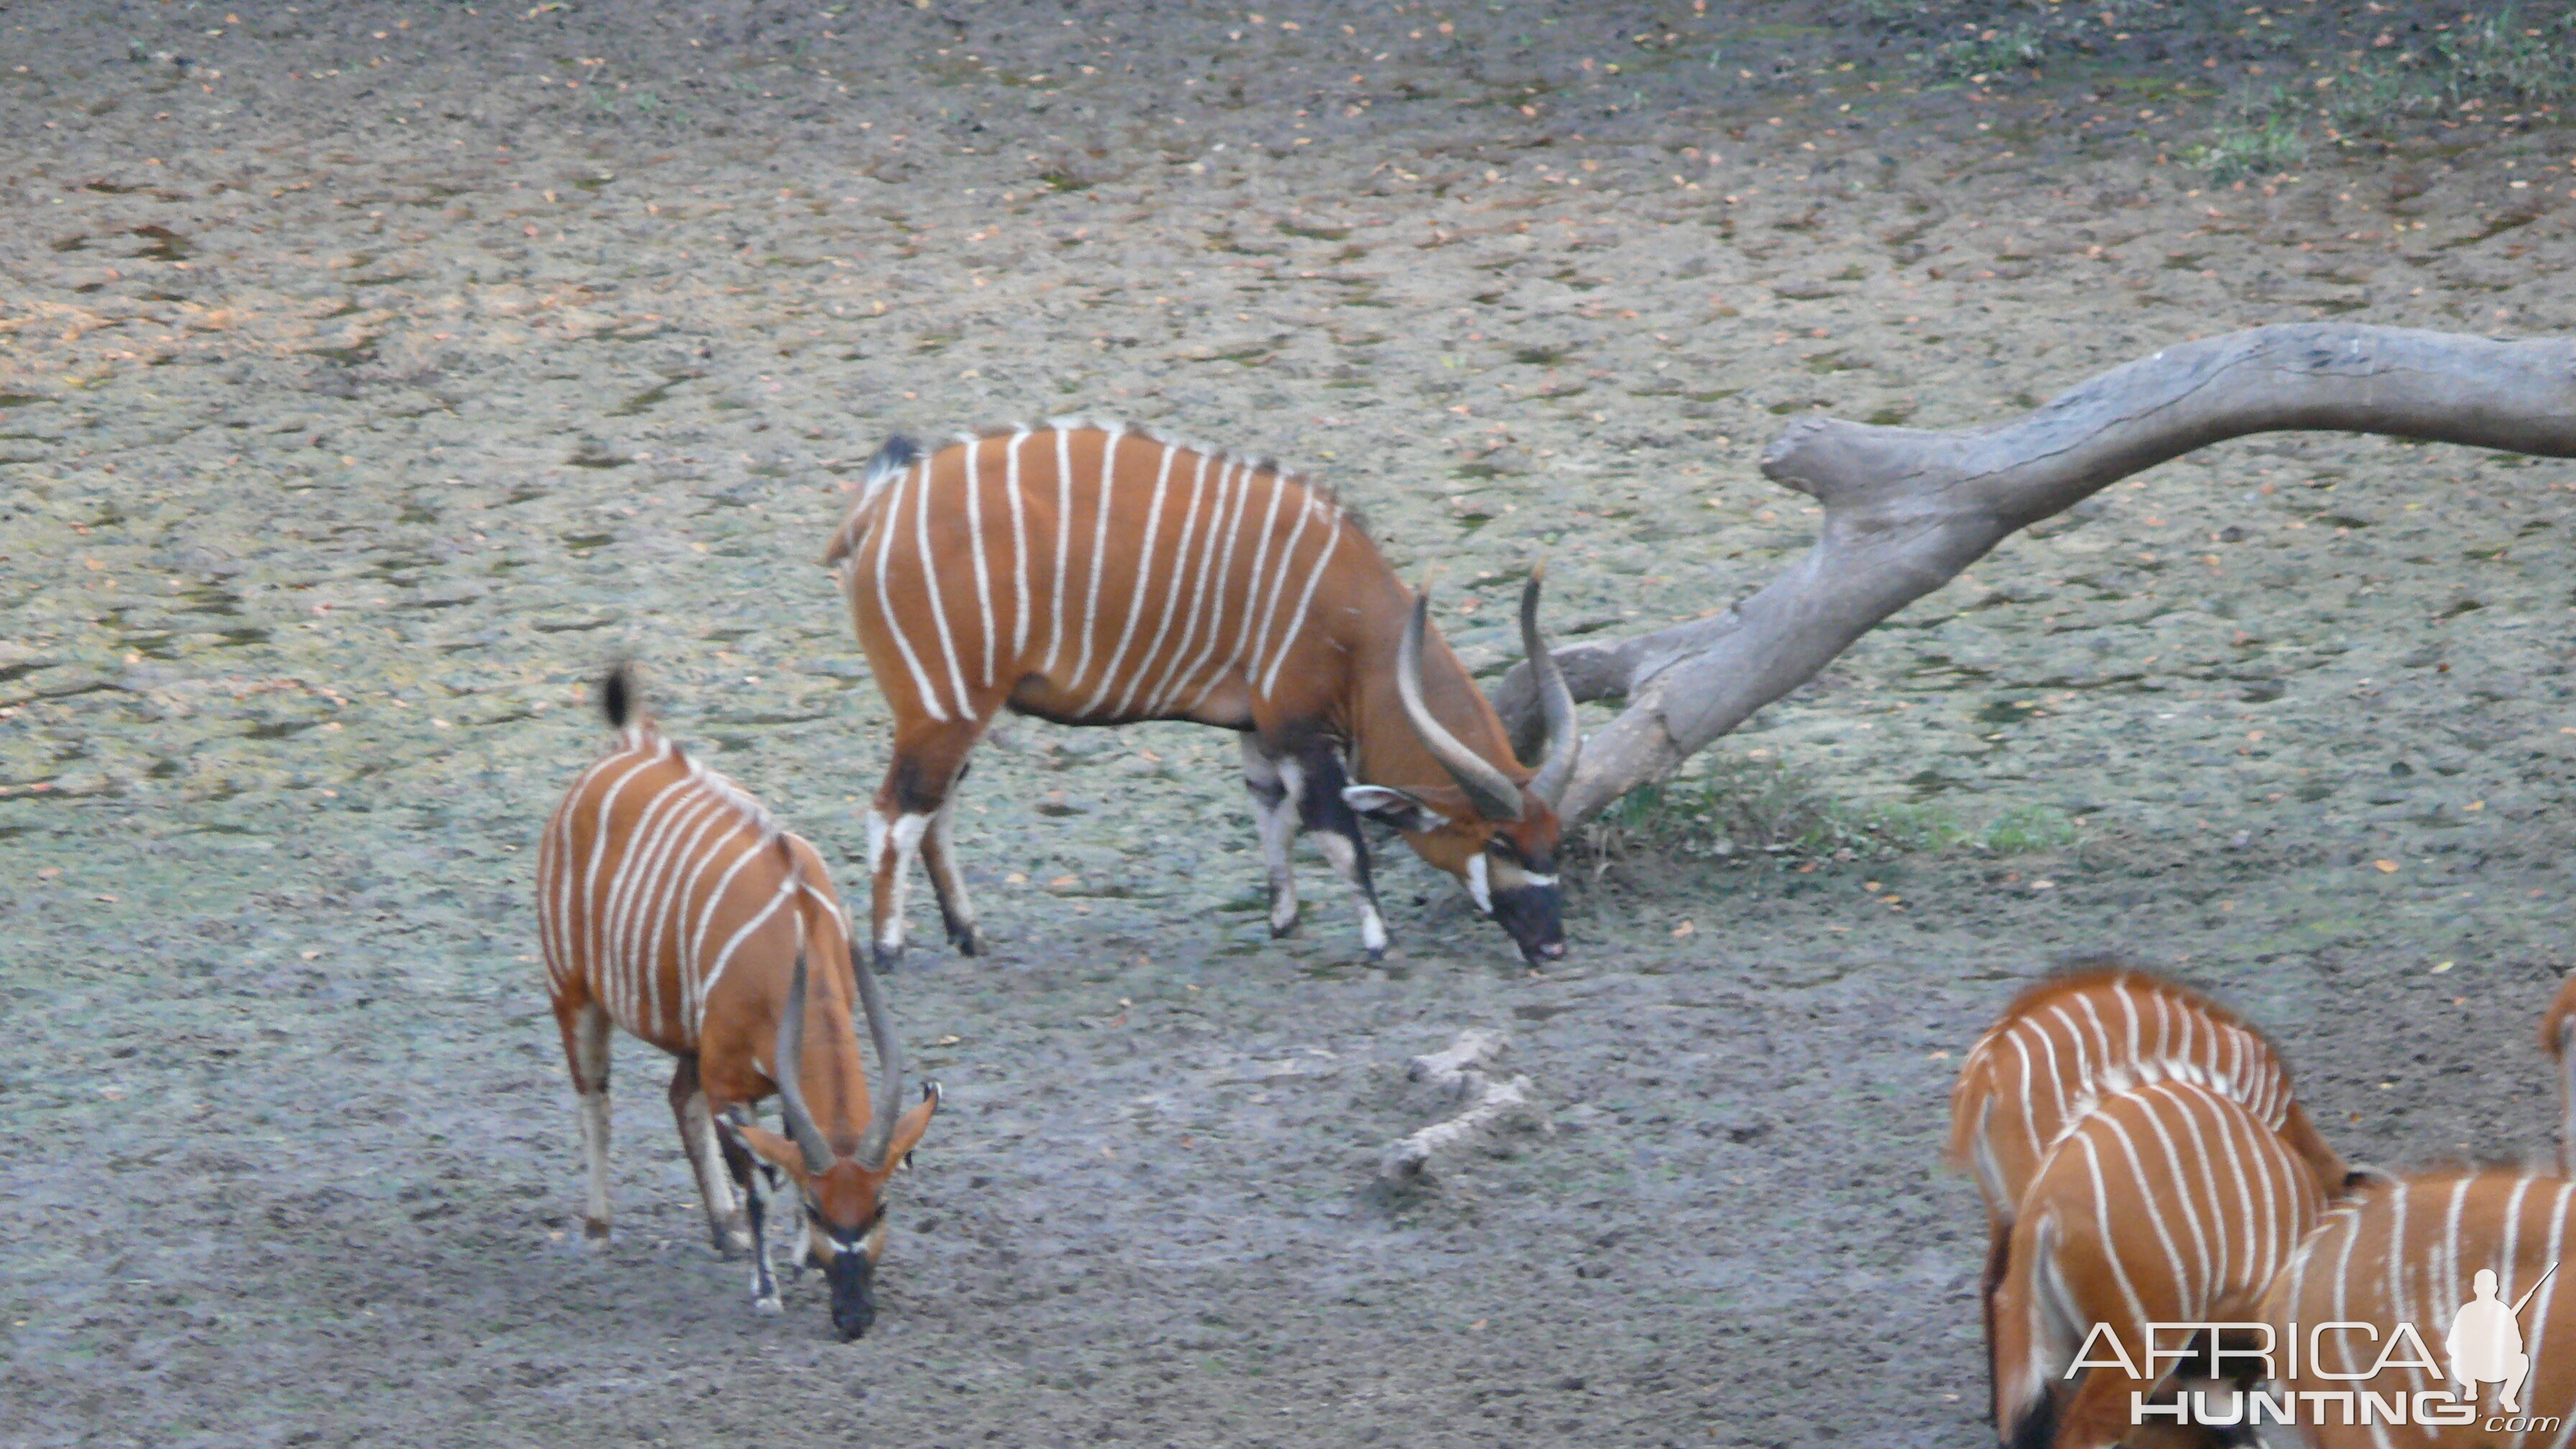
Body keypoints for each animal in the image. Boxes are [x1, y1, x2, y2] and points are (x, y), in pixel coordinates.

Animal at [538, 665, 942, 1330]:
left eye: (879, 1206)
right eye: (819, 1209)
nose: (854, 1316)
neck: (798, 934)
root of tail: (629, 743)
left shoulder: (759, 1072)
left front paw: (797, 1261)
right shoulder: (729, 1081)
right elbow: (759, 1184)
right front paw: (766, 1287)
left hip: (687, 1037)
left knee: (678, 1099)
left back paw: (721, 1229)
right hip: (573, 991)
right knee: (595, 1101)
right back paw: (598, 1229)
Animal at [824, 423, 1576, 964]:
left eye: (1554, 840)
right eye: (1500, 843)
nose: (1553, 946)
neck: (1357, 613)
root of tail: (875, 512)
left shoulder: (1260, 734)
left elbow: (1273, 819)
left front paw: (1284, 921)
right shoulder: (1300, 730)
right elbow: (1340, 836)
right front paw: (1378, 941)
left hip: (961, 716)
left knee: (934, 814)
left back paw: (970, 936)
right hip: (943, 709)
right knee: (895, 813)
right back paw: (888, 951)